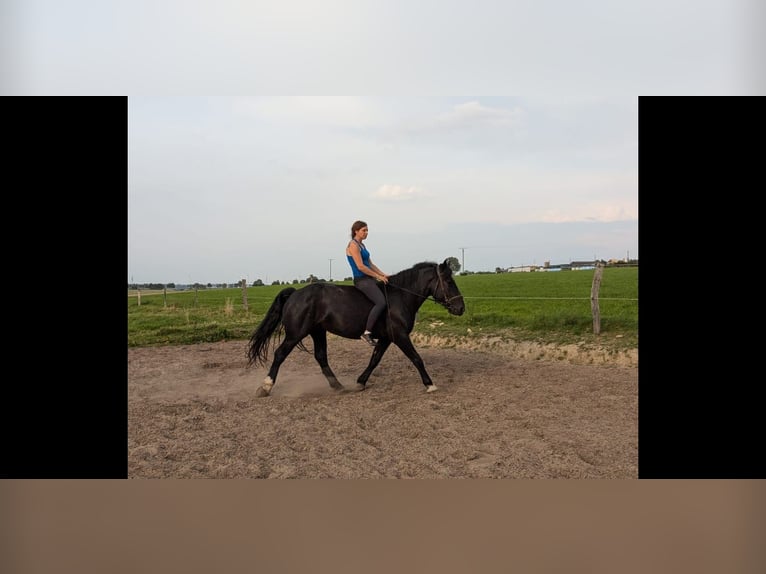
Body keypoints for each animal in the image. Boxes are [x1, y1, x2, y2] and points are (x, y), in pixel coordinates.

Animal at [249, 260, 464, 396]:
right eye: (448, 281)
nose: (461, 308)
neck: (400, 297)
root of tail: (295, 294)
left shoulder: (386, 338)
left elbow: (374, 359)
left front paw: (360, 382)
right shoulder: (400, 336)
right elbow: (417, 358)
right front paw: (430, 385)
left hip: (318, 331)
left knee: (321, 357)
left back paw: (338, 386)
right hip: (296, 334)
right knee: (280, 354)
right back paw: (265, 387)